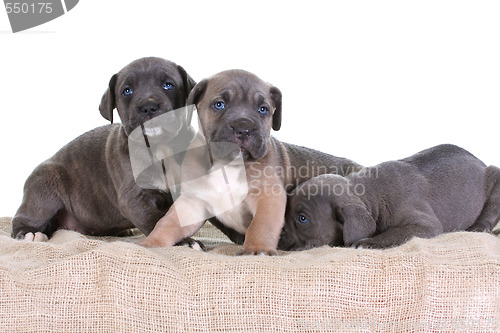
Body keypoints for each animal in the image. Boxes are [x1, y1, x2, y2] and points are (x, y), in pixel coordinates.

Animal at [11, 56, 195, 239]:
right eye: (127, 91)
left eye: (168, 85)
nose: (148, 106)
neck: (160, 147)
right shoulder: (134, 198)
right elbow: (156, 220)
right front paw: (185, 241)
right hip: (45, 185)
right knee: (24, 217)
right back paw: (28, 232)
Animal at [139, 68, 362, 253]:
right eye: (219, 105)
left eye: (263, 109)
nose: (243, 128)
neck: (228, 165)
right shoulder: (192, 203)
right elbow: (167, 223)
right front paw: (150, 244)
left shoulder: (268, 198)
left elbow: (260, 225)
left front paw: (256, 249)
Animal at [280, 143, 500, 249]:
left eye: (302, 218)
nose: (278, 231)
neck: (369, 196)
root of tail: (480, 162)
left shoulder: (424, 224)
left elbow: (395, 232)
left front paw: (370, 242)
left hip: (494, 176)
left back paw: (478, 227)